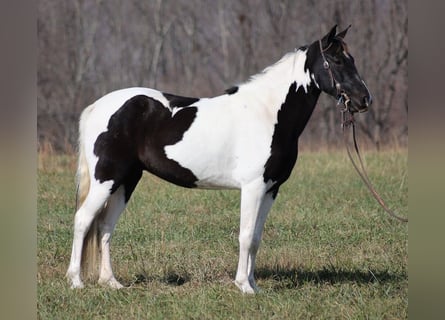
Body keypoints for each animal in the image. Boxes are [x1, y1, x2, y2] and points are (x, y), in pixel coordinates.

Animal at [67, 26, 372, 294]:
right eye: (335, 60)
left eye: (353, 59)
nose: (364, 100)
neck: (268, 113)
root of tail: (97, 106)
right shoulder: (253, 187)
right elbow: (245, 236)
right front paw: (243, 286)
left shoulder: (270, 189)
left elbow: (256, 238)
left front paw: (255, 286)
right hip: (106, 179)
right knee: (83, 220)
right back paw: (76, 281)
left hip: (126, 181)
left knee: (105, 226)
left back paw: (111, 282)